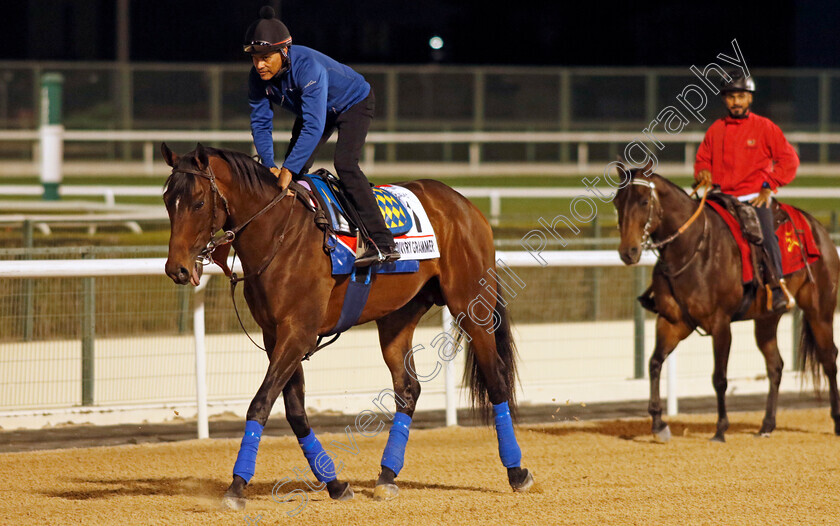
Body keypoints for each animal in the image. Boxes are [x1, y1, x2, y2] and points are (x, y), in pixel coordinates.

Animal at [161, 144, 536, 512]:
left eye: (197, 202)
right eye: (167, 200)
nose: (177, 269)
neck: (278, 233)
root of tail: (465, 205)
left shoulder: (297, 333)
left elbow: (261, 403)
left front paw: (237, 485)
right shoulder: (276, 335)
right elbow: (295, 411)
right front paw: (336, 484)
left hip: (472, 305)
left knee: (496, 378)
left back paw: (516, 471)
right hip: (397, 317)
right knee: (408, 389)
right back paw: (387, 476)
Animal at [612, 163, 840, 444]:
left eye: (644, 201)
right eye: (617, 202)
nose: (628, 252)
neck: (693, 248)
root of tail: (818, 229)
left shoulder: (720, 324)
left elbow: (719, 378)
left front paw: (720, 428)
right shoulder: (673, 322)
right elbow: (654, 363)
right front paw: (658, 424)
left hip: (819, 311)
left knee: (829, 359)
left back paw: (836, 422)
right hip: (767, 319)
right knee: (775, 366)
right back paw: (766, 425)